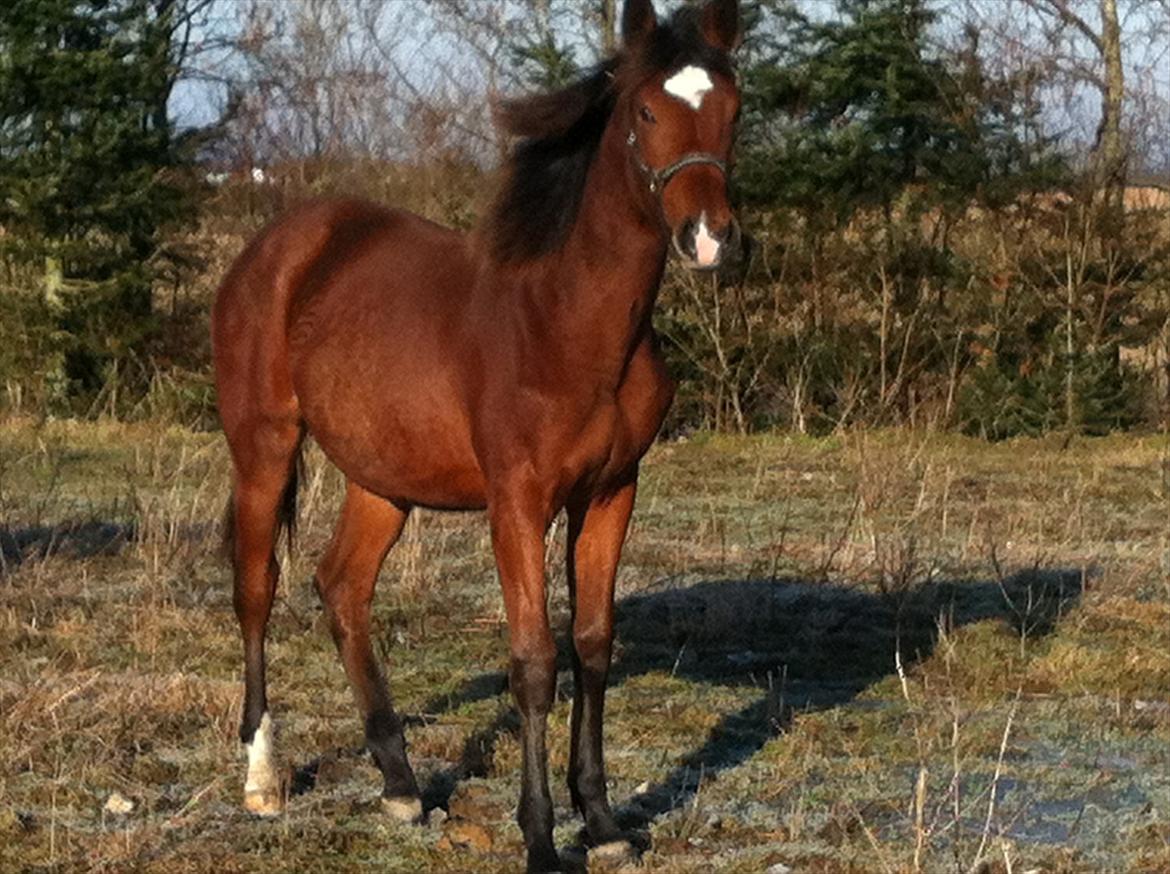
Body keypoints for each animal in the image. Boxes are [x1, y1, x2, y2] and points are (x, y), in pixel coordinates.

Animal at [210, 1, 739, 870]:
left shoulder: (612, 493)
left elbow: (592, 645)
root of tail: (278, 245)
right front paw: (541, 838)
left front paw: (603, 824)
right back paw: (262, 777)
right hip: (264, 447)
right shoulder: (517, 503)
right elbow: (534, 663)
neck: (568, 322)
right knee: (258, 588)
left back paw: (399, 785)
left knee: (342, 586)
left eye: (733, 107)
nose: (712, 240)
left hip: (383, 479)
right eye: (645, 111)